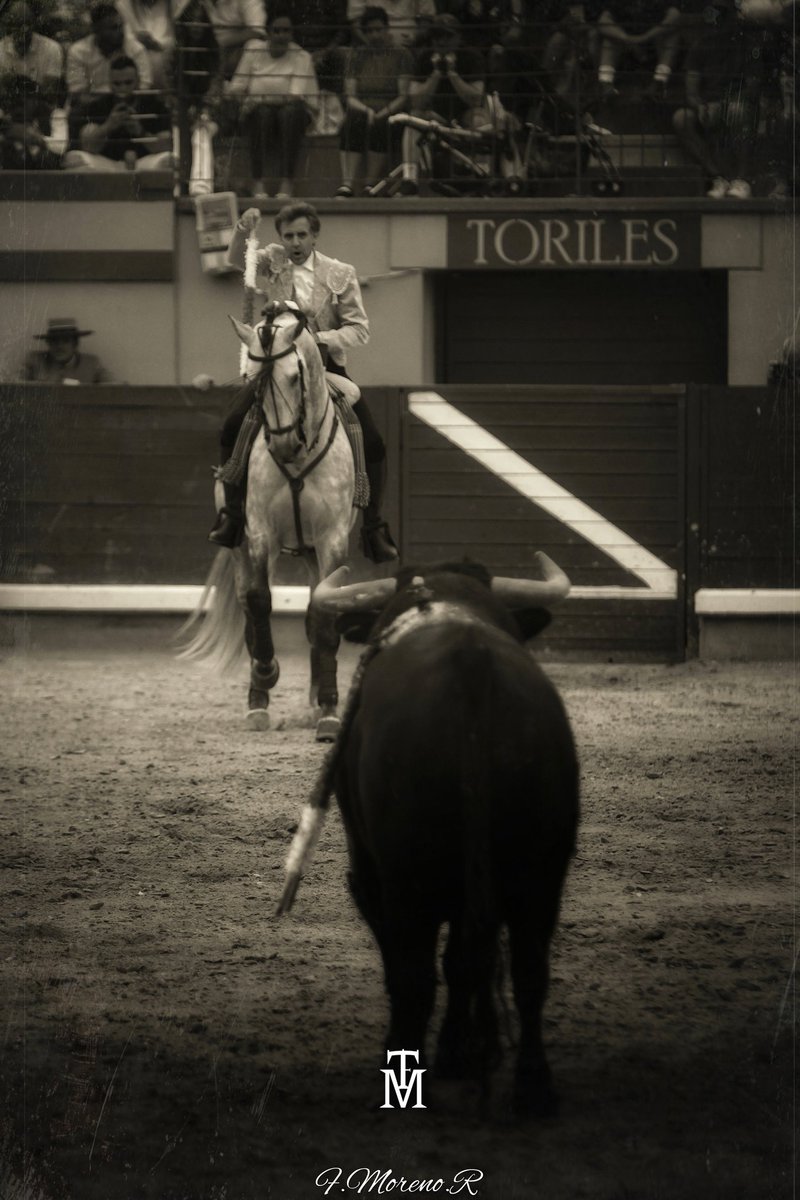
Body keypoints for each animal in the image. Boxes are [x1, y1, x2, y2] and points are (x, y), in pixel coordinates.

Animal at [183, 307, 357, 739]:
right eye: (253, 383)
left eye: (295, 376)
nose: (282, 445)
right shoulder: (261, 532)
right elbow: (261, 601)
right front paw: (265, 676)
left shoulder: (332, 539)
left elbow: (325, 614)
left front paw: (328, 708)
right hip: (243, 547)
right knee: (248, 603)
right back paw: (257, 697)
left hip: (311, 551)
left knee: (314, 608)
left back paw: (313, 699)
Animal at [292, 554, 575, 1113]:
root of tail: (473, 677)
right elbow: (464, 962)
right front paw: (456, 1052)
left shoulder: (371, 873)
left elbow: (411, 965)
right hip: (543, 871)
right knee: (528, 972)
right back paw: (534, 1090)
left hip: (406, 877)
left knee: (415, 975)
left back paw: (400, 1068)